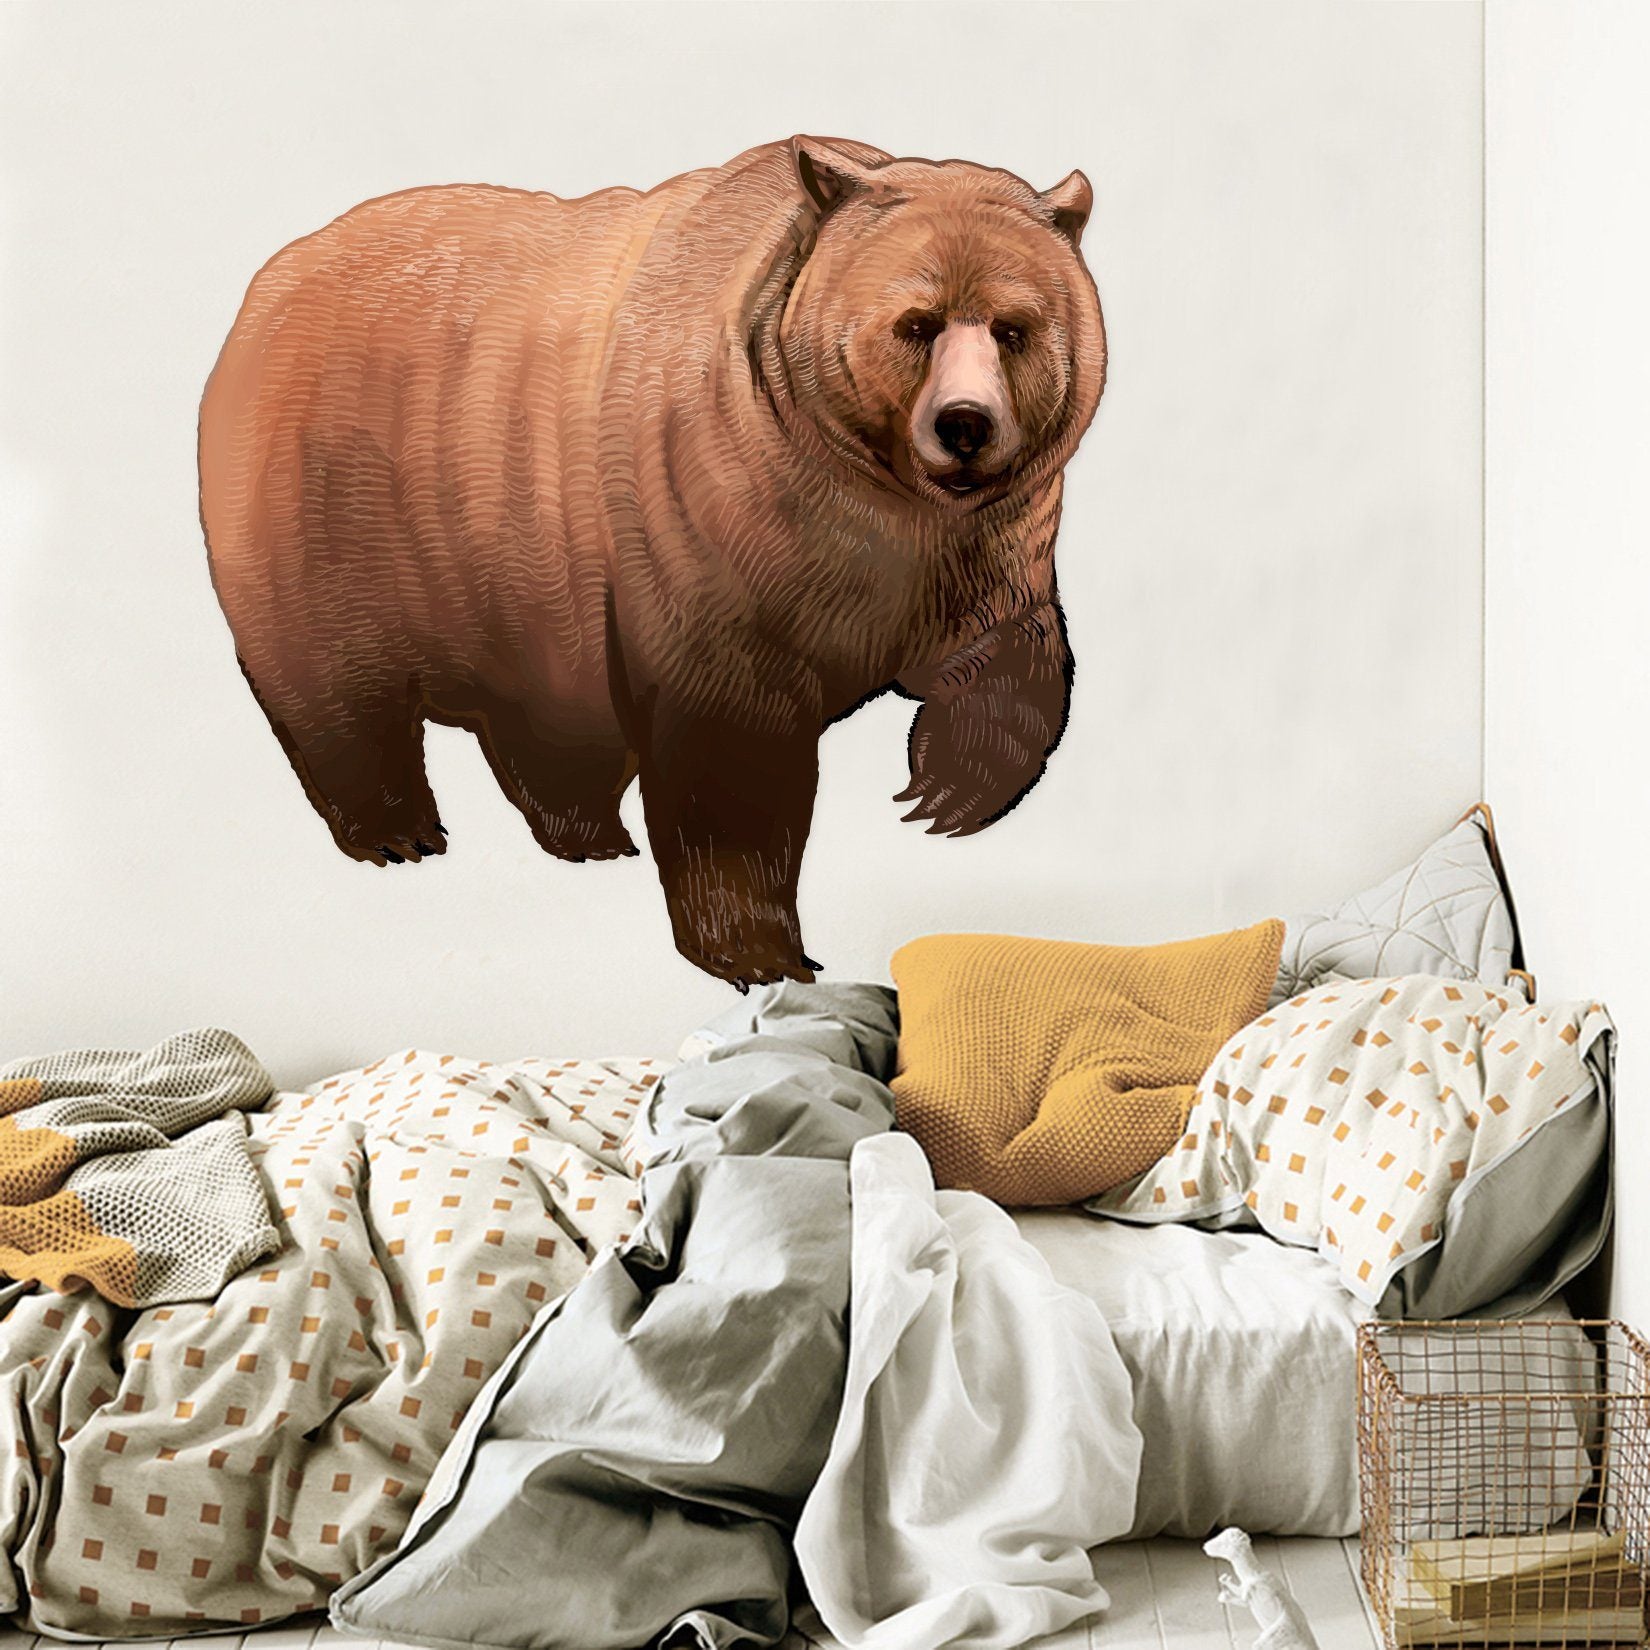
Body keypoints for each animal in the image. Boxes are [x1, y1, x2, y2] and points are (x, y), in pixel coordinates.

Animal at [199, 136, 1107, 987]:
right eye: (916, 323)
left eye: (1013, 328)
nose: (965, 424)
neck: (873, 494)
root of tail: (266, 282)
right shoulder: (715, 523)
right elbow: (731, 755)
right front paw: (760, 950)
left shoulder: (978, 550)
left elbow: (1009, 660)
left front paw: (942, 796)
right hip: (339, 514)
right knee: (336, 691)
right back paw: (400, 831)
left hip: (520, 572)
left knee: (548, 728)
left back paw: (590, 836)